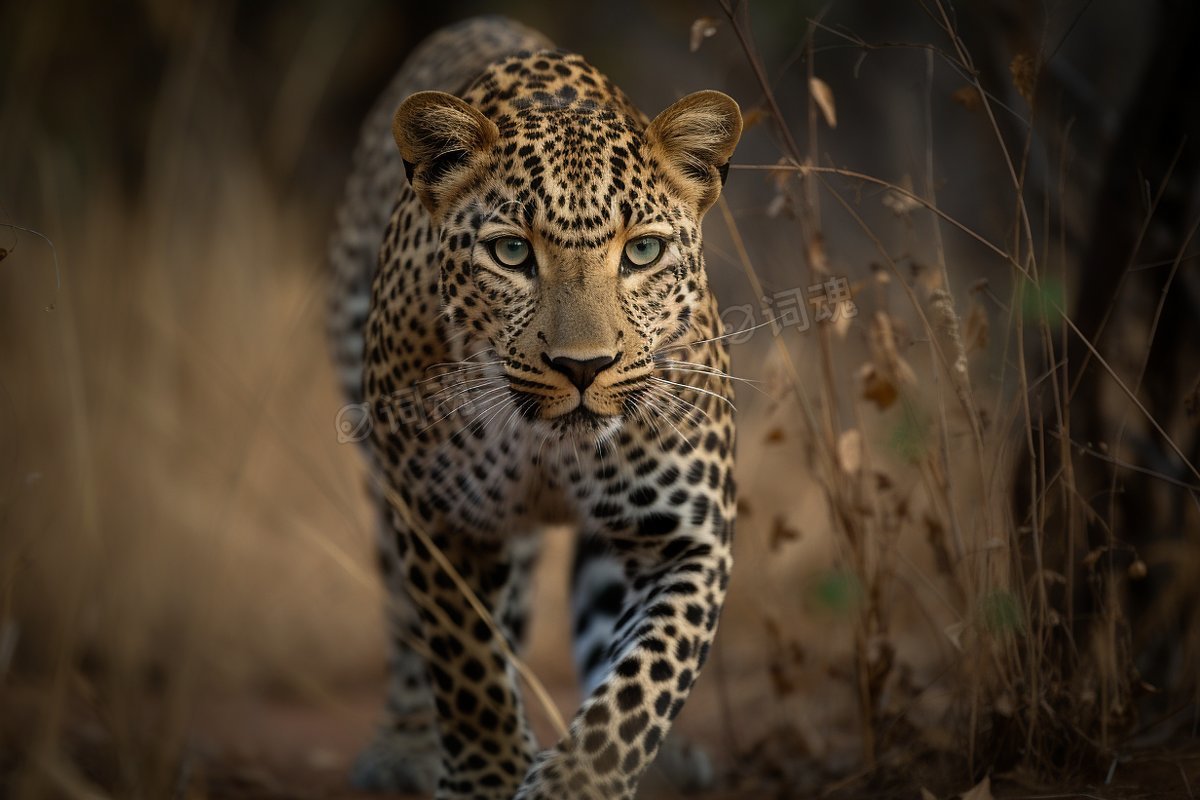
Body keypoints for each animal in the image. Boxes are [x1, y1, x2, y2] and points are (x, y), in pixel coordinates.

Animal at [328, 14, 739, 800]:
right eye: (512, 254)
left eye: (643, 252)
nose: (583, 367)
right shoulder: (439, 518)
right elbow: (468, 668)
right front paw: (486, 775)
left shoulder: (688, 541)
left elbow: (638, 691)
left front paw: (577, 780)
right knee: (406, 619)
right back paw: (406, 746)